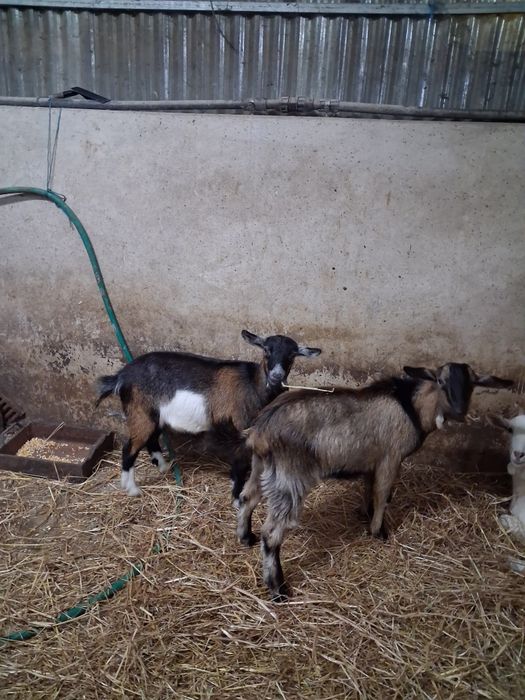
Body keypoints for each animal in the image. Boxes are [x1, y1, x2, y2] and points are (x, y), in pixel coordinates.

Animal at [96, 330, 321, 497]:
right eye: (266, 350)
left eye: (291, 356)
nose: (276, 377)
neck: (253, 383)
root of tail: (121, 376)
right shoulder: (242, 424)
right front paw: (238, 488)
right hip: (140, 413)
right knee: (129, 448)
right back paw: (133, 490)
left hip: (154, 415)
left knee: (151, 441)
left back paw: (165, 467)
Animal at [237, 363, 513, 600]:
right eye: (441, 381)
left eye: (472, 384)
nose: (459, 411)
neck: (410, 406)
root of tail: (260, 431)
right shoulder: (391, 458)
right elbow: (383, 494)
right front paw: (379, 531)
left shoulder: (372, 461)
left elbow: (369, 488)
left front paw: (364, 513)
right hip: (289, 476)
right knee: (272, 533)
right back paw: (278, 589)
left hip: (261, 466)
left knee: (246, 497)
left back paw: (245, 537)